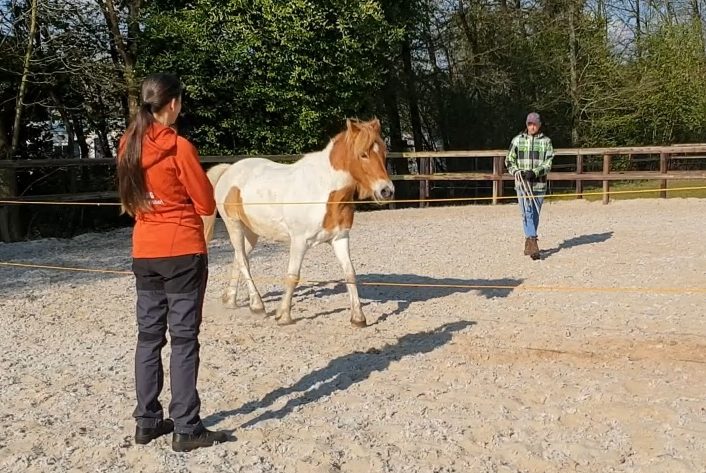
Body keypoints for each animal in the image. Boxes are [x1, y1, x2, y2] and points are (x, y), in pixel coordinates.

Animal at [201, 118, 394, 326]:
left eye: (384, 153)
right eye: (363, 154)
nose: (386, 191)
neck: (324, 191)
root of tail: (228, 170)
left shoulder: (340, 238)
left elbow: (350, 272)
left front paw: (358, 318)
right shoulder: (299, 241)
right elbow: (293, 276)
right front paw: (284, 315)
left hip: (251, 232)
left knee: (239, 258)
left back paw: (230, 300)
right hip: (234, 225)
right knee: (244, 262)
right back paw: (257, 305)